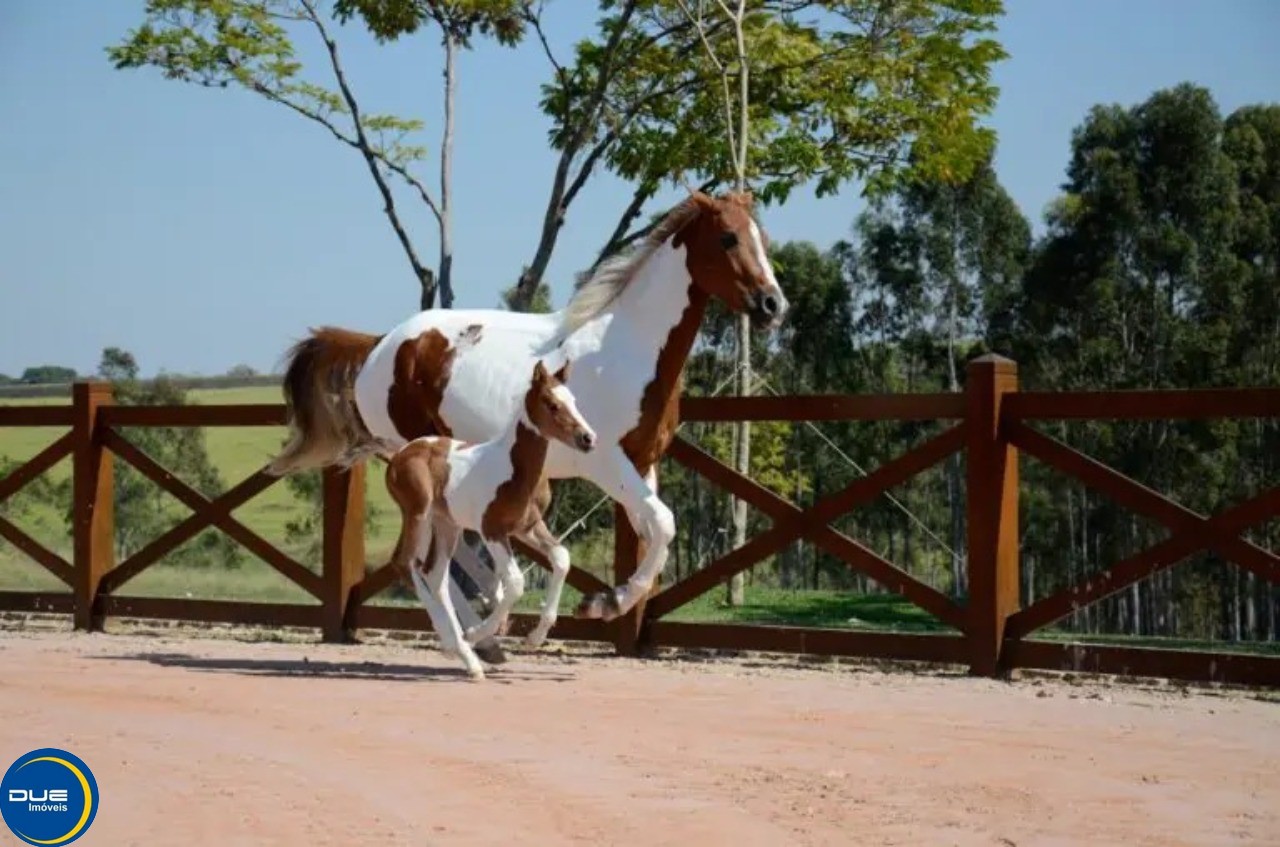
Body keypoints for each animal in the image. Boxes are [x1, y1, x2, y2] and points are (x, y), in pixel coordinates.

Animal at [381, 355, 596, 680]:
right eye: (551, 404)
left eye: (573, 400)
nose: (587, 438)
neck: (514, 469)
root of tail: (399, 457)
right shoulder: (492, 530)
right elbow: (515, 582)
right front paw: (479, 634)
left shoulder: (527, 528)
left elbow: (561, 558)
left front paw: (535, 637)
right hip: (418, 514)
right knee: (407, 564)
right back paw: (461, 646)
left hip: (447, 524)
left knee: (435, 574)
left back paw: (465, 655)